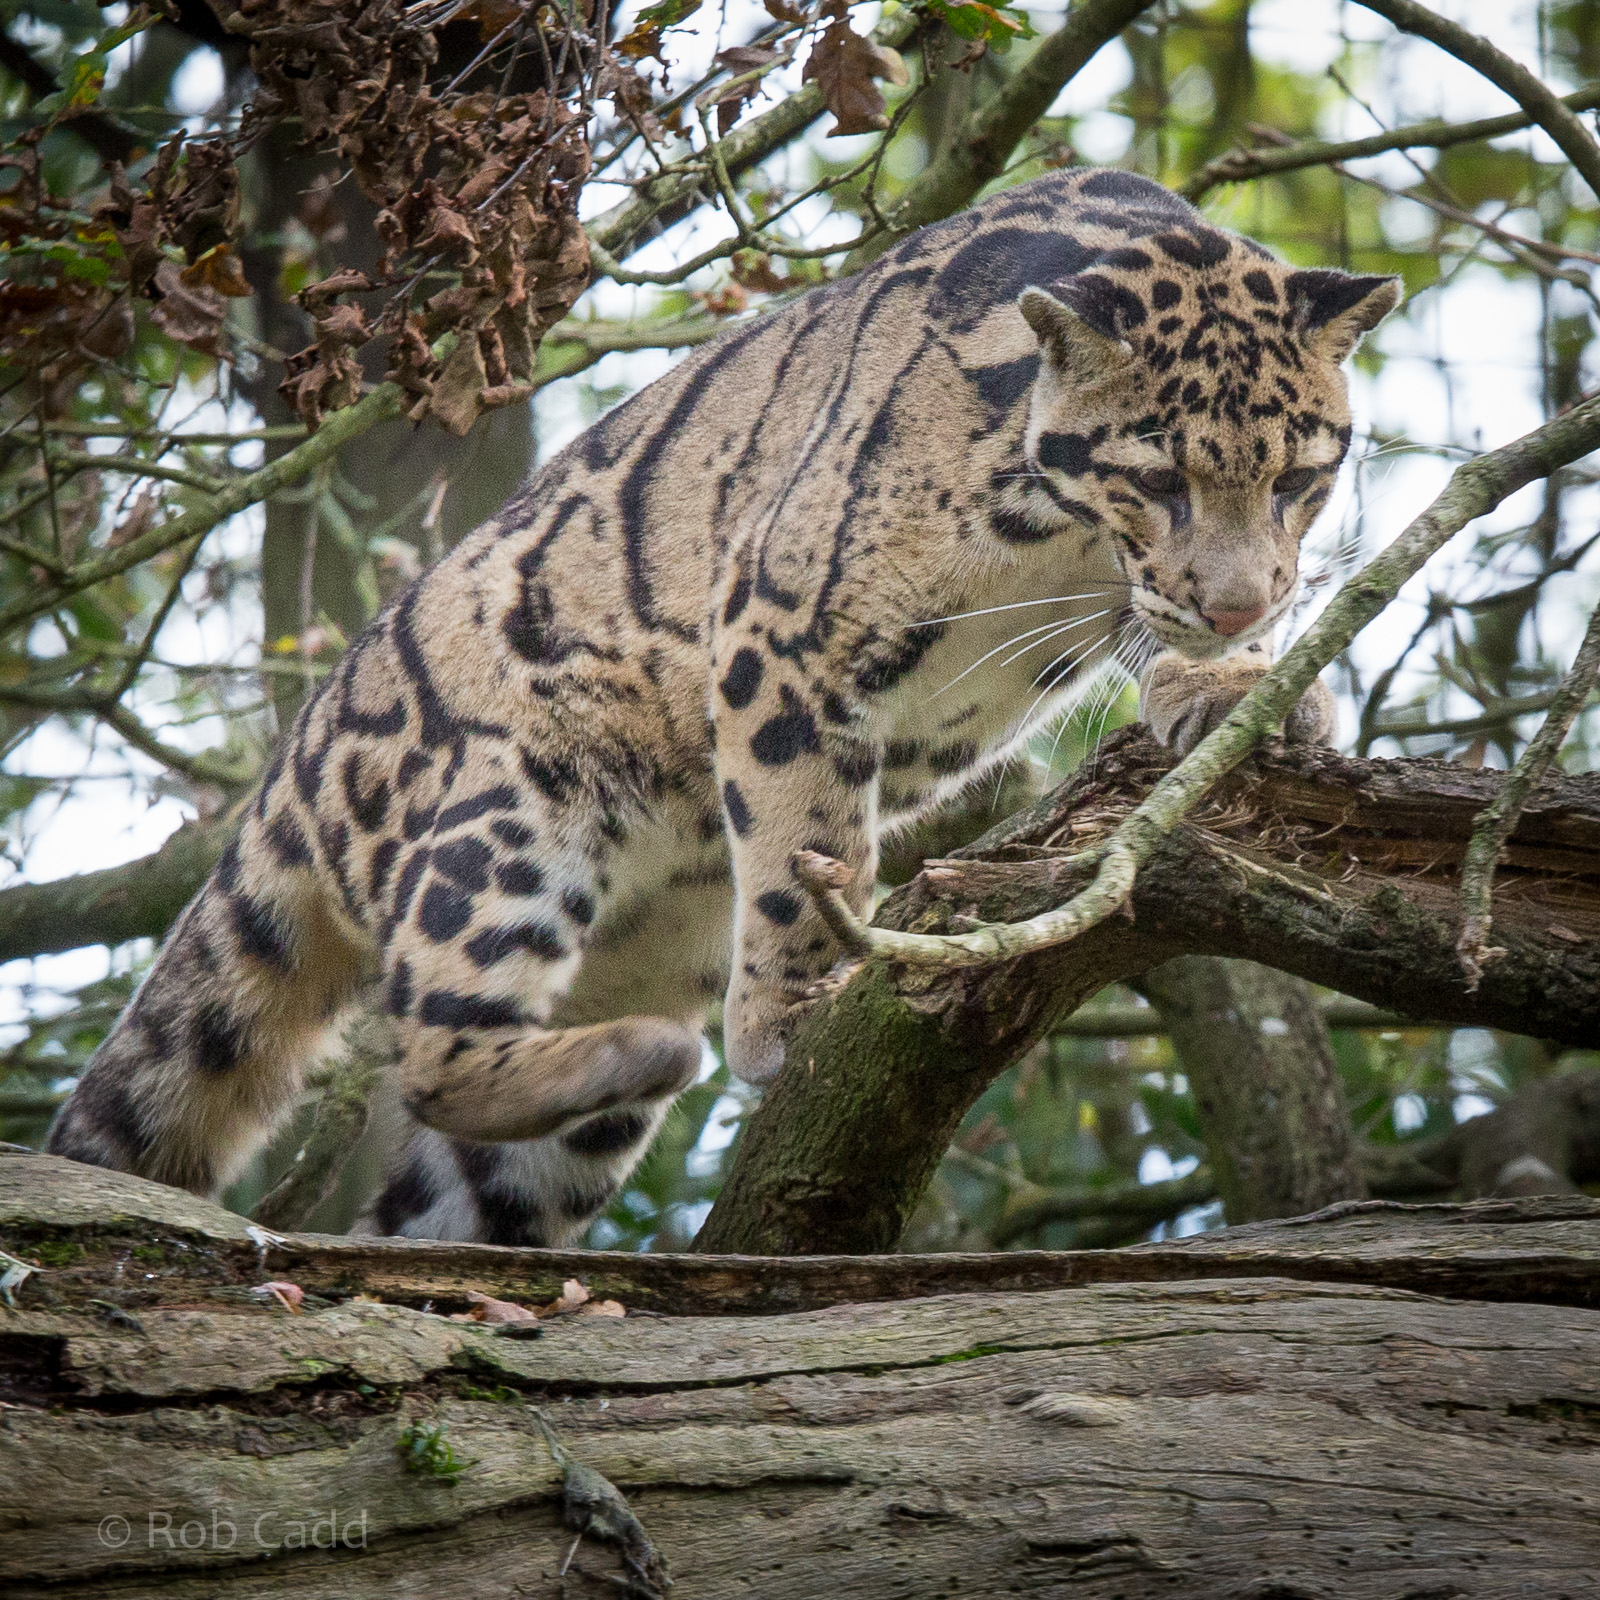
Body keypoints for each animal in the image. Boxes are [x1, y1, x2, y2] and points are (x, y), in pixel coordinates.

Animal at [47, 167, 1399, 1246]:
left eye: (1299, 477)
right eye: (1159, 477)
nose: (1239, 601)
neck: (1057, 539)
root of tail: (300, 752)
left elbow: (1156, 642)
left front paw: (1244, 691)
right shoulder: (782, 629)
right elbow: (807, 845)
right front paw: (801, 1006)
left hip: (605, 1004)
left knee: (447, 1206)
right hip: (505, 812)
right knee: (429, 1048)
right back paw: (654, 1050)